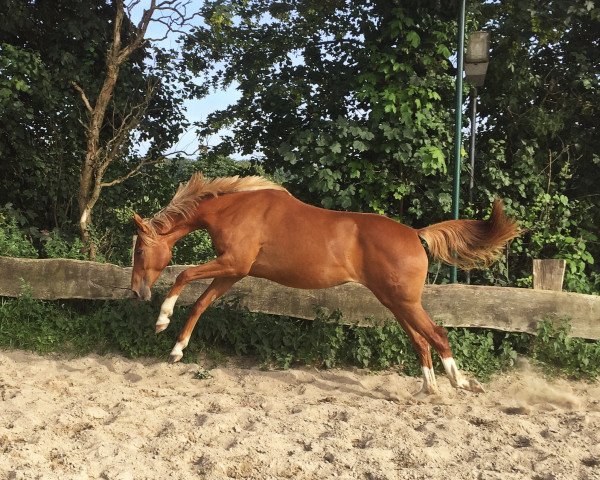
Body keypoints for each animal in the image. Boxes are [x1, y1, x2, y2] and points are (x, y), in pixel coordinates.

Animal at [131, 172, 520, 394]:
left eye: (139, 249)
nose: (136, 291)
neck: (235, 209)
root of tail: (415, 234)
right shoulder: (234, 271)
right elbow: (200, 303)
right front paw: (177, 349)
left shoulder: (233, 264)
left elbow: (183, 275)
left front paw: (161, 321)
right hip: (395, 302)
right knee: (420, 341)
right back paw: (427, 389)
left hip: (405, 302)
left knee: (437, 334)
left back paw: (461, 383)